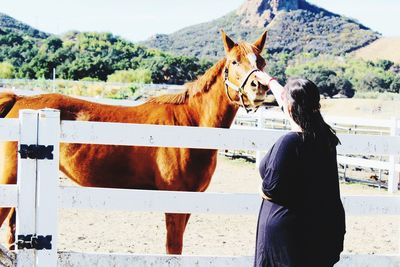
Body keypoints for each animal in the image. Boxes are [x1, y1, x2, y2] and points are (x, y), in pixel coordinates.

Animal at [0, 30, 268, 254]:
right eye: (234, 62)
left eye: (261, 62)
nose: (259, 88)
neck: (189, 124)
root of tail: (19, 100)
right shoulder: (174, 201)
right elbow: (173, 250)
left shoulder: (189, 202)